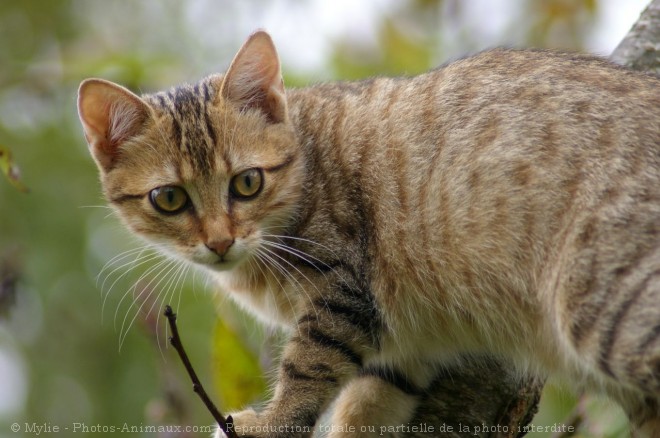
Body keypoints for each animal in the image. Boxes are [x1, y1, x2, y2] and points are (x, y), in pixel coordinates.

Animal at [78, 30, 660, 434]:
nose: (220, 242)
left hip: (605, 302)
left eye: (247, 182)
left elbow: (307, 369)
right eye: (169, 198)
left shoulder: (343, 294)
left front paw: (271, 424)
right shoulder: (402, 346)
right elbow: (367, 402)